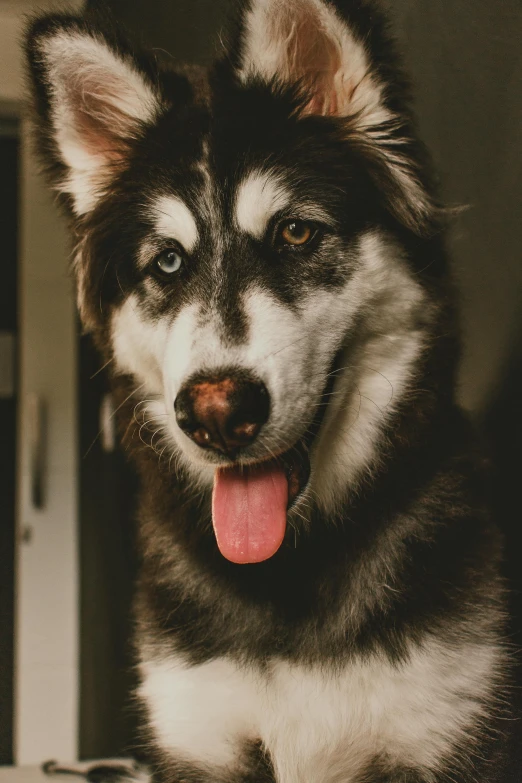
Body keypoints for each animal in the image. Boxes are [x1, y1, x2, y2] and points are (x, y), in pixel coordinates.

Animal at [25, 1, 512, 783]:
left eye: (295, 233)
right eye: (167, 263)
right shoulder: (201, 737)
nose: (216, 413)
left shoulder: (446, 729)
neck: (291, 575)